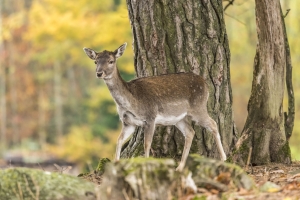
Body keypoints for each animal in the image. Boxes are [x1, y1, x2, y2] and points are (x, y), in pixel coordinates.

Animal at [83, 43, 226, 171]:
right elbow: (118, 141)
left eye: (111, 61)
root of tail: (205, 83)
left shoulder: (150, 117)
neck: (131, 103)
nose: (99, 73)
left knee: (213, 124)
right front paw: (116, 165)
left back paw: (223, 158)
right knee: (190, 132)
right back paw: (179, 167)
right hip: (179, 118)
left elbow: (146, 144)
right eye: (95, 61)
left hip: (198, 107)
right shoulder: (128, 122)